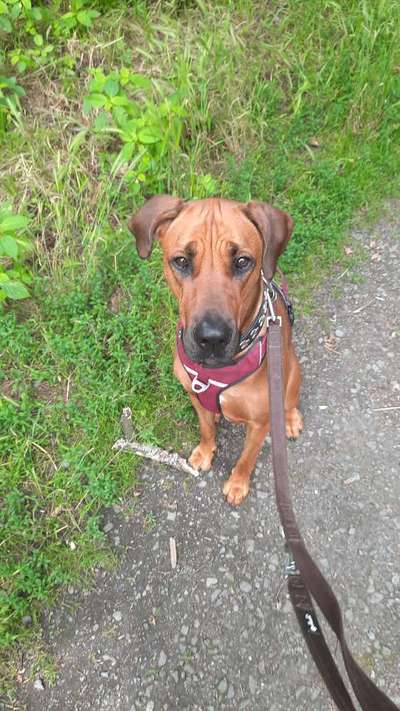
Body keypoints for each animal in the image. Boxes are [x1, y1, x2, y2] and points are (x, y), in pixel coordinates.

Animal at [130, 196, 302, 506]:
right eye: (182, 261)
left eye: (242, 261)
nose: (211, 339)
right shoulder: (194, 396)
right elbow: (206, 429)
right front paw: (204, 452)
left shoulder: (260, 424)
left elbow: (247, 458)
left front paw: (237, 484)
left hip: (292, 371)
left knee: (290, 400)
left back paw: (292, 420)